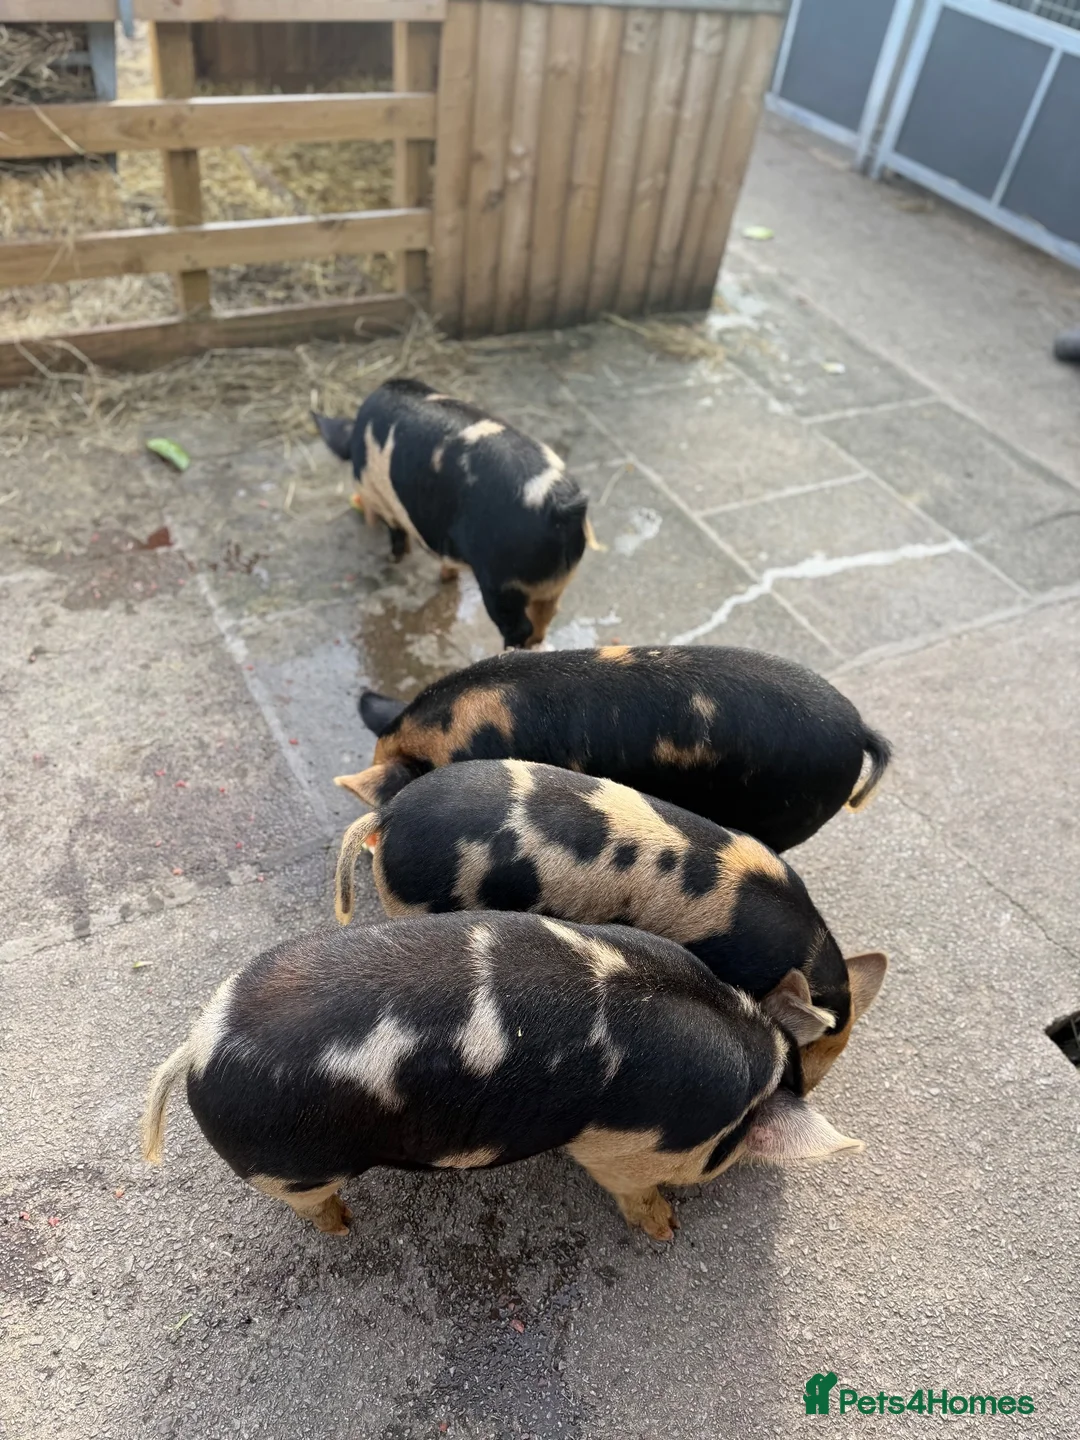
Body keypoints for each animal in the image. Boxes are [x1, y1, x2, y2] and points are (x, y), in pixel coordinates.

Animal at [141, 913, 862, 1242]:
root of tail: (195, 1046)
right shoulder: (619, 1146)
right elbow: (628, 1187)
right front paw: (664, 1231)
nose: (730, 1186)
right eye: (725, 1157)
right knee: (307, 1201)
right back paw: (343, 1227)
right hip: (291, 1166)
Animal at [313, 378, 598, 649]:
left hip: (501, 582)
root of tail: (559, 507)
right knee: (546, 616)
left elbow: (397, 536)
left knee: (520, 627)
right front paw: (445, 578)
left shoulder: (383, 502)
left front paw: (393, 559)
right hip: (554, 583)